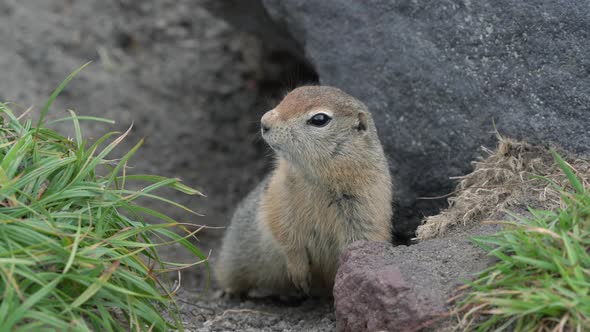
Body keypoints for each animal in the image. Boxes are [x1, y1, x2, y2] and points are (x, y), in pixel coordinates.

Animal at [216, 85, 394, 296]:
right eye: (287, 96)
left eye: (319, 119)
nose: (264, 122)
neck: (317, 179)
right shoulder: (278, 194)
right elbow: (284, 232)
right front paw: (299, 273)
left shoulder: (365, 206)